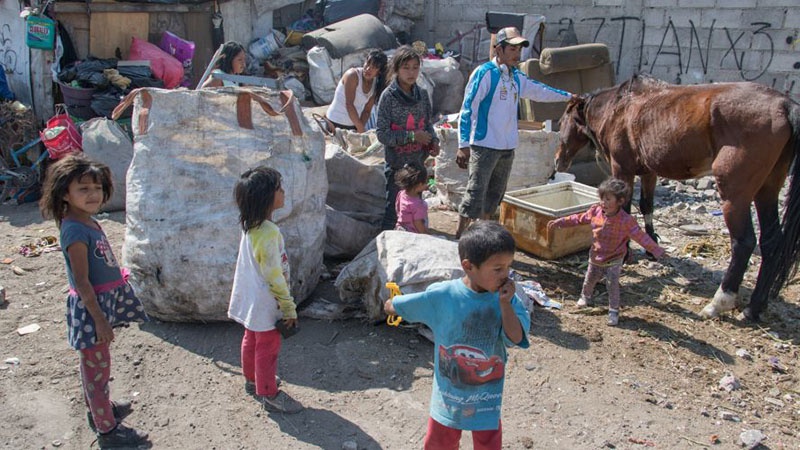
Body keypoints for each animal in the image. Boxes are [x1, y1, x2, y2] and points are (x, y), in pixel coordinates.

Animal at [552, 74, 800, 320]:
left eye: (562, 122)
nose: (557, 161)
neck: (619, 107)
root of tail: (783, 104)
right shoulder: (648, 171)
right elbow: (646, 206)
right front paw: (651, 246)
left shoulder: (622, 169)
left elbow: (627, 211)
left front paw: (625, 253)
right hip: (767, 190)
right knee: (771, 242)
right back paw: (754, 308)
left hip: (734, 195)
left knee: (744, 242)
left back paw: (719, 302)